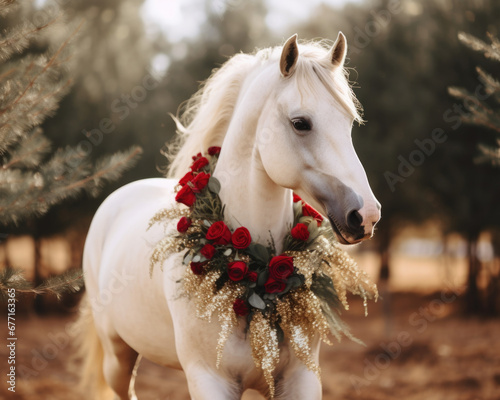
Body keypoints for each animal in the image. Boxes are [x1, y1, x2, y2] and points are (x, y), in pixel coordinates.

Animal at [78, 34, 380, 400]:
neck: (254, 272)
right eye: (300, 123)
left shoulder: (301, 378)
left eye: (349, 123)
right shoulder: (210, 380)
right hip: (118, 358)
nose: (365, 215)